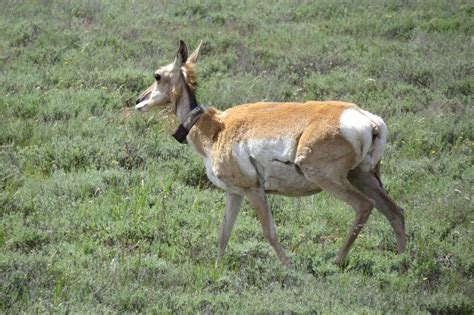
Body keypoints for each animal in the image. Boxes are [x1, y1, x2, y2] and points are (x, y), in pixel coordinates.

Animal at [135, 39, 406, 266]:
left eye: (157, 75)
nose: (138, 101)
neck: (215, 128)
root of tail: (368, 120)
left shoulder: (254, 191)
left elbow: (269, 233)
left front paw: (288, 266)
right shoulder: (235, 193)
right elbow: (224, 233)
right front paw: (216, 269)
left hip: (327, 177)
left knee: (365, 206)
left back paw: (337, 261)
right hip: (363, 176)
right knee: (395, 212)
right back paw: (404, 263)